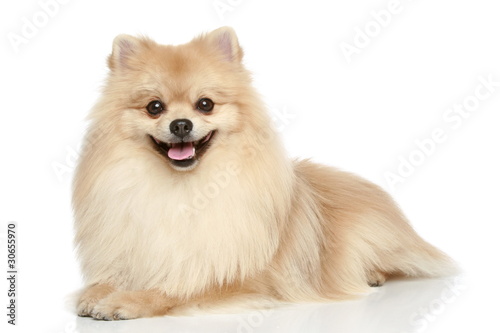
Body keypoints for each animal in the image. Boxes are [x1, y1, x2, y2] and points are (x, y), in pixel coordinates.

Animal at [72, 27, 456, 320]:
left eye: (205, 104)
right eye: (154, 107)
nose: (181, 124)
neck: (185, 189)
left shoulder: (235, 275)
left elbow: (176, 289)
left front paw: (127, 300)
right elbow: (112, 277)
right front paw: (98, 291)